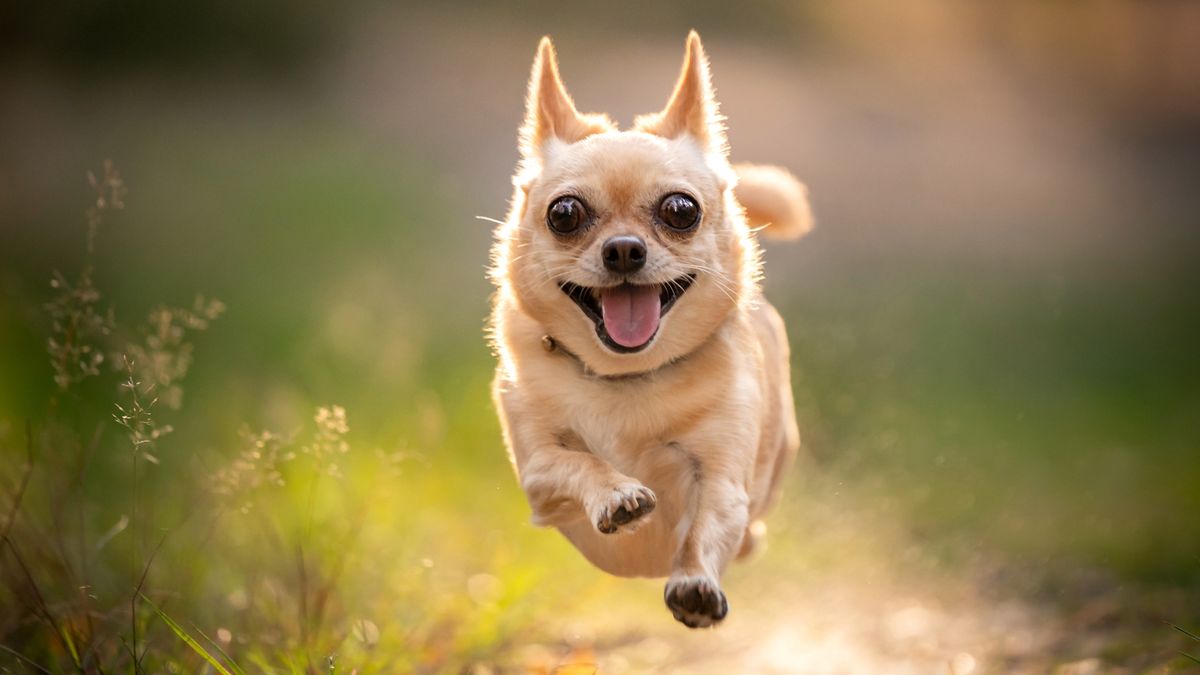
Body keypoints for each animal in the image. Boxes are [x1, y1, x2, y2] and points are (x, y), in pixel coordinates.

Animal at [489, 31, 816, 624]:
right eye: (564, 213)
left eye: (680, 210)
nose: (623, 249)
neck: (625, 379)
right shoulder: (539, 474)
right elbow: (578, 460)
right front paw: (617, 495)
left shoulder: (721, 483)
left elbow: (706, 527)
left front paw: (695, 583)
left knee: (749, 529)